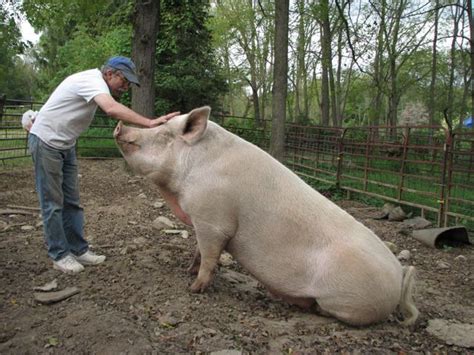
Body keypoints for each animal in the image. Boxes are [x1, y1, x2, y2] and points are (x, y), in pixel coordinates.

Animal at [115, 106, 418, 328]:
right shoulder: (203, 221)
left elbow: (210, 256)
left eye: (164, 133)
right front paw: (187, 270)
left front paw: (193, 288)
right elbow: (198, 250)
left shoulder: (214, 221)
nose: (120, 126)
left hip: (347, 301)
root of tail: (399, 276)